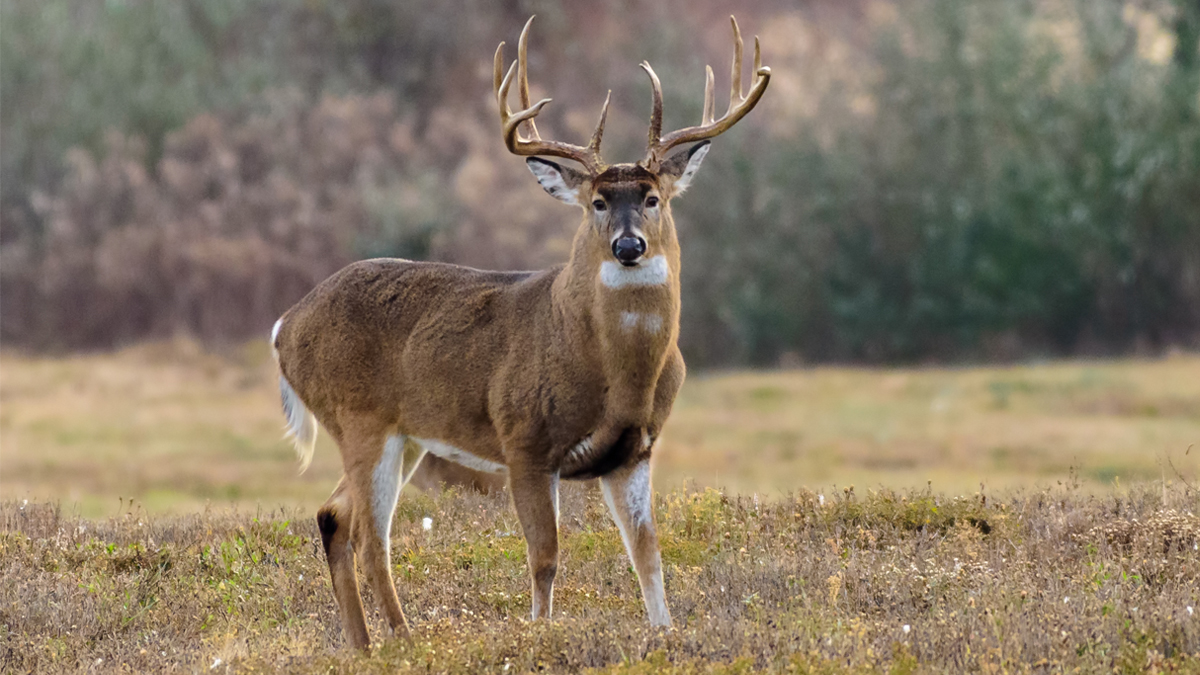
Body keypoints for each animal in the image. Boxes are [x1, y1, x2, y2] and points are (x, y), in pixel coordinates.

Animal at [270, 15, 770, 650]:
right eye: (598, 201)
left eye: (653, 197)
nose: (628, 245)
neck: (611, 369)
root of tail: (284, 326)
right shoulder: (524, 438)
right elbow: (545, 556)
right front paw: (539, 632)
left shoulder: (635, 450)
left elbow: (647, 553)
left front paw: (665, 633)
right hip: (361, 418)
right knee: (368, 538)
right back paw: (405, 640)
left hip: (406, 435)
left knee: (333, 516)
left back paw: (363, 646)